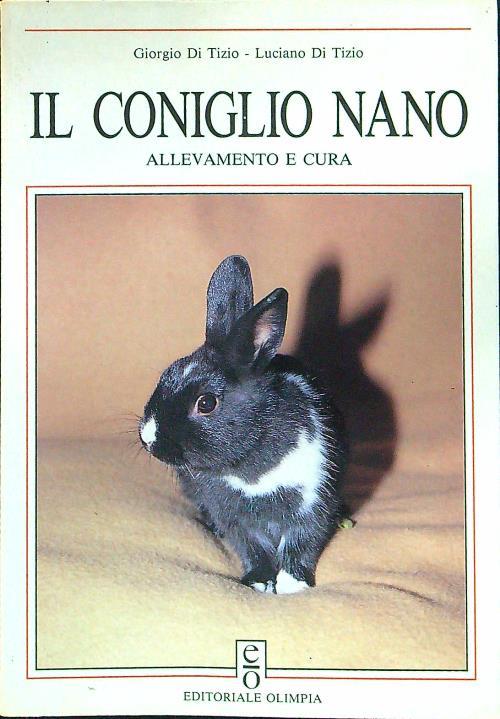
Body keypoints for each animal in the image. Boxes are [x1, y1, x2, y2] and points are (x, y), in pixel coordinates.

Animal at [139, 256, 347, 594]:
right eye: (166, 374)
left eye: (206, 403)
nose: (148, 437)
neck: (249, 470)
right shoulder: (233, 518)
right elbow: (252, 548)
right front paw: (259, 582)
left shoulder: (312, 503)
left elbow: (302, 543)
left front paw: (292, 585)